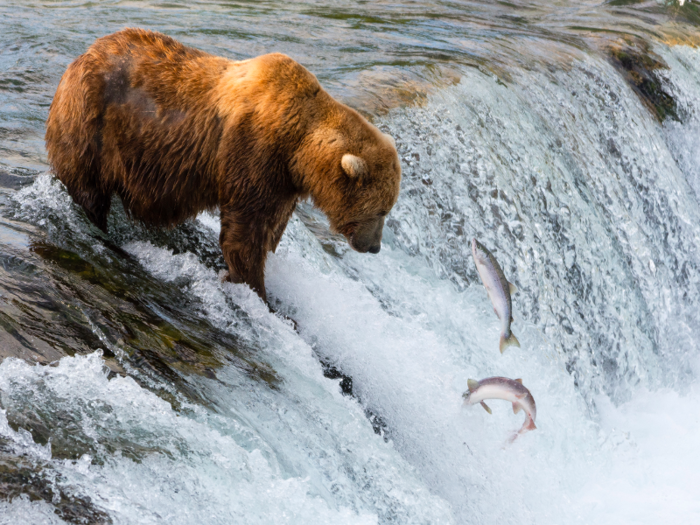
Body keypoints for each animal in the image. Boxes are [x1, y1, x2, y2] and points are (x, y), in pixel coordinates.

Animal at [46, 27, 402, 298]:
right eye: (382, 210)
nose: (374, 247)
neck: (298, 147)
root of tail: (82, 55)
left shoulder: (283, 182)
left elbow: (271, 229)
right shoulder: (254, 152)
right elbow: (244, 234)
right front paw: (256, 289)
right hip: (91, 121)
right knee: (87, 188)